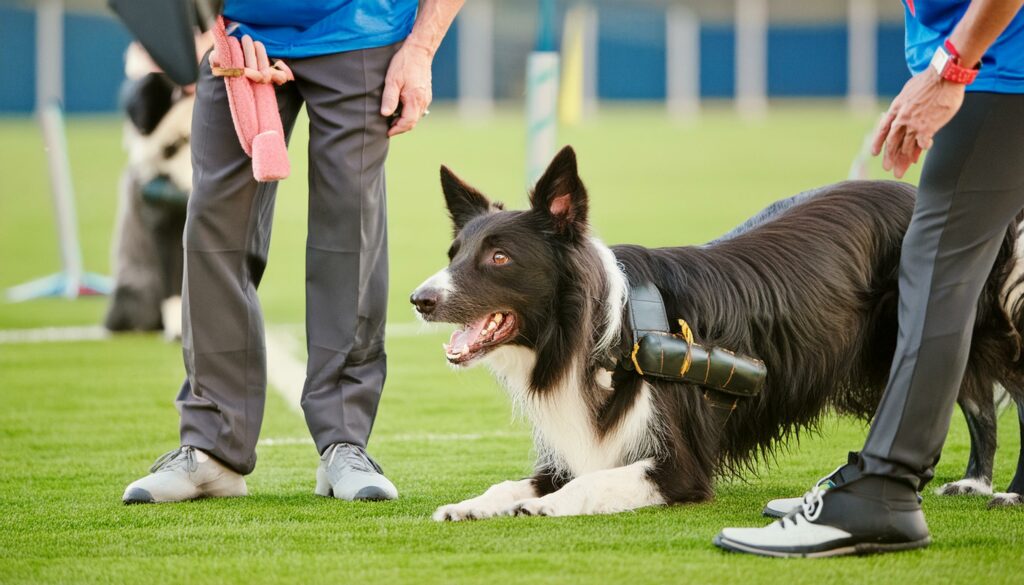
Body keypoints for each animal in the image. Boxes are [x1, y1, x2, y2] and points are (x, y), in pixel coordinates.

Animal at [409, 147, 1024, 522]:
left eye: (499, 257)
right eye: (454, 253)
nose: (419, 300)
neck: (605, 333)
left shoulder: (678, 467)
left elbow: (588, 484)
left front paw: (547, 506)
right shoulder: (575, 449)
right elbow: (515, 484)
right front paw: (471, 505)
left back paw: (1008, 491)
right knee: (975, 400)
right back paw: (974, 482)